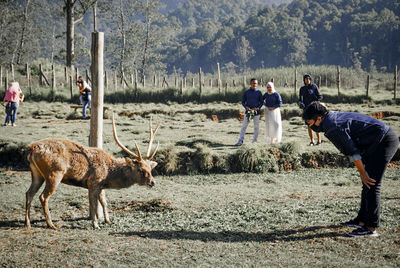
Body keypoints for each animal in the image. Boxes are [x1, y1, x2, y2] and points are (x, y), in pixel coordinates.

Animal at [24, 114, 159, 229]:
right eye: (141, 169)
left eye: (150, 169)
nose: (152, 182)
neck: (109, 173)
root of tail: (31, 149)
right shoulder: (93, 182)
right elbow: (93, 204)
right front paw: (96, 224)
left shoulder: (100, 185)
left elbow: (104, 202)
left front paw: (108, 220)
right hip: (54, 173)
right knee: (43, 196)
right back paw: (51, 224)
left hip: (37, 174)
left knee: (29, 193)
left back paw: (28, 223)